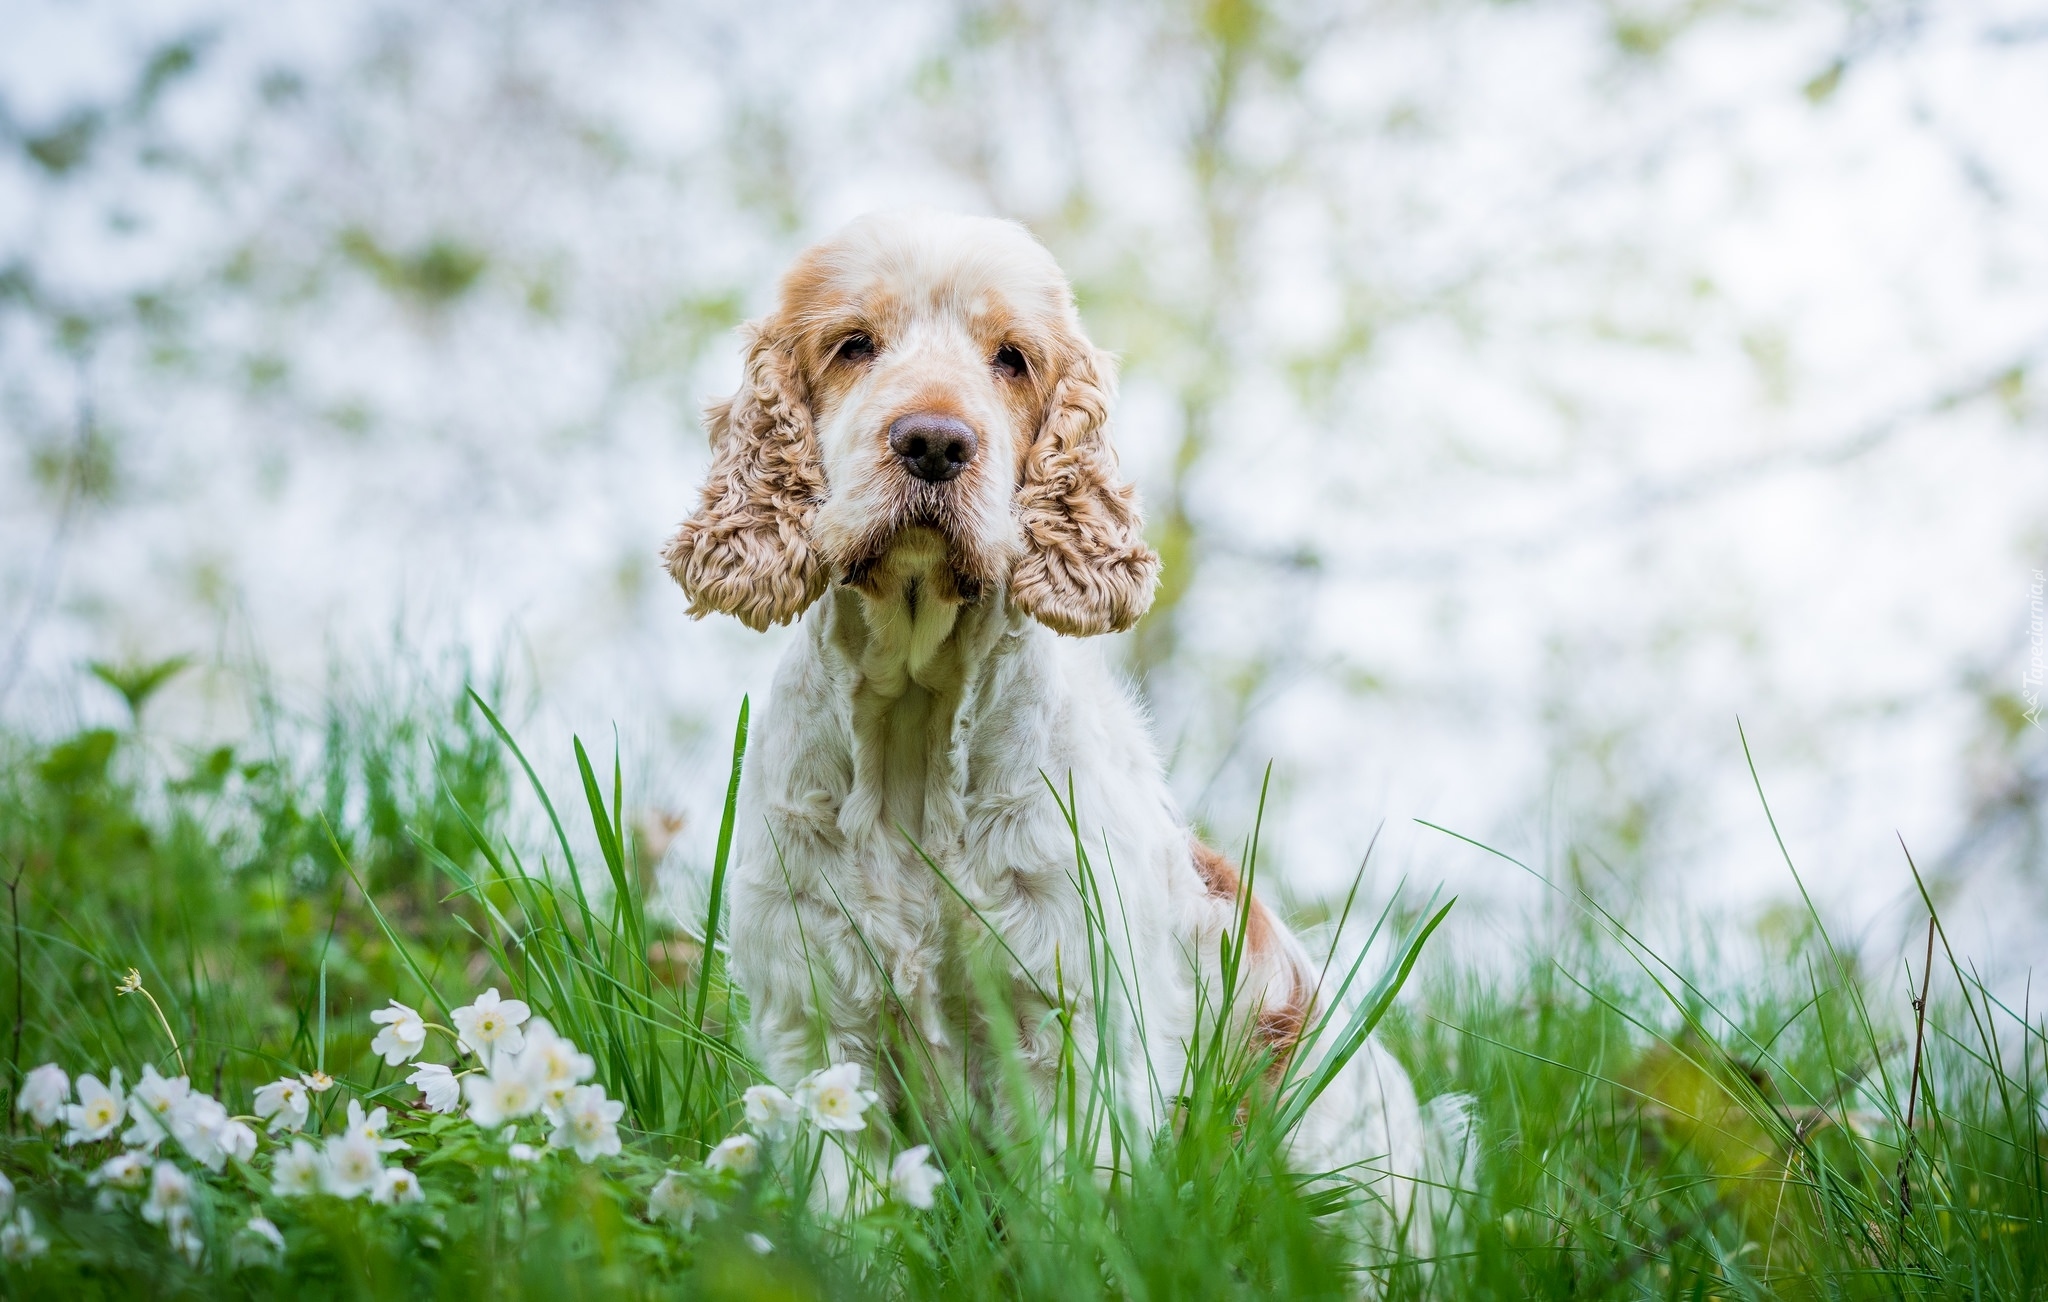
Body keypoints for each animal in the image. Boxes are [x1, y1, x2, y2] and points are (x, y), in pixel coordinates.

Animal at [663, 205, 1433, 1244]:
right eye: (854, 344)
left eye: (1013, 359)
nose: (934, 443)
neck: (916, 727)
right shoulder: (821, 1019)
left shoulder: (1073, 1025)